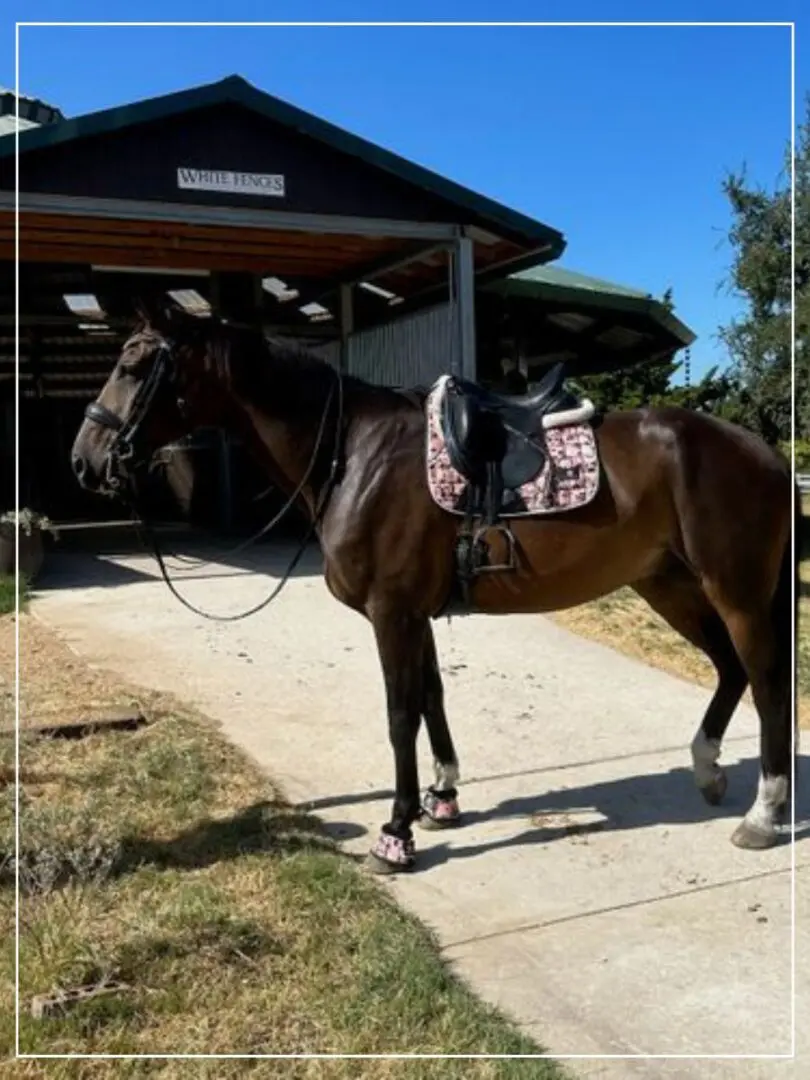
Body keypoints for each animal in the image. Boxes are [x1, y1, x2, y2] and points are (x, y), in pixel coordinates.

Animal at [68, 300, 794, 872]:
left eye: (133, 366)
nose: (84, 461)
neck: (354, 452)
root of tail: (764, 452)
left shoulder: (392, 611)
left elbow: (400, 714)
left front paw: (396, 834)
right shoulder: (414, 612)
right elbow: (432, 698)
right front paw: (442, 799)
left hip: (734, 592)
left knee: (764, 681)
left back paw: (763, 814)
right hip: (668, 586)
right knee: (730, 670)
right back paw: (708, 771)